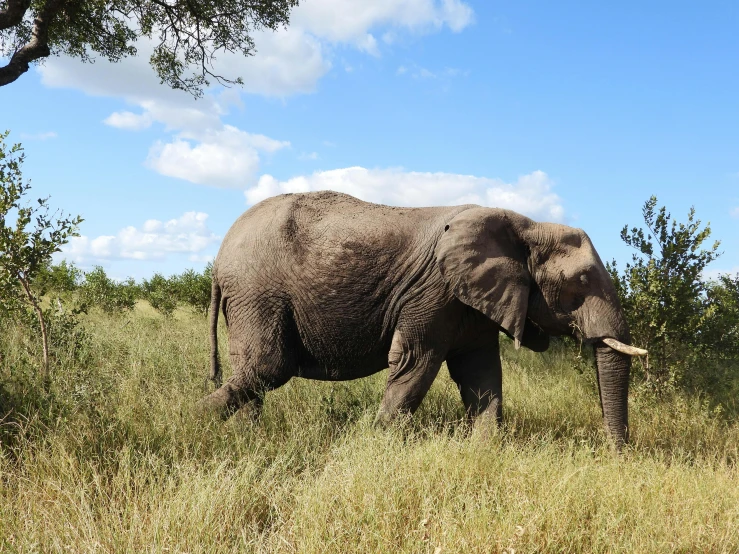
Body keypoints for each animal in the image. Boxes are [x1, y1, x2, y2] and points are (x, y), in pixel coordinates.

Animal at [204, 190, 648, 444]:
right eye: (582, 280)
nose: (617, 455)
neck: (526, 224)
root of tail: (220, 256)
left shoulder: (474, 302)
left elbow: (481, 372)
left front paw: (484, 450)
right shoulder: (435, 291)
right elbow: (416, 362)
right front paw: (379, 444)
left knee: (255, 372)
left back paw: (247, 439)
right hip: (257, 291)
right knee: (268, 366)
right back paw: (196, 420)